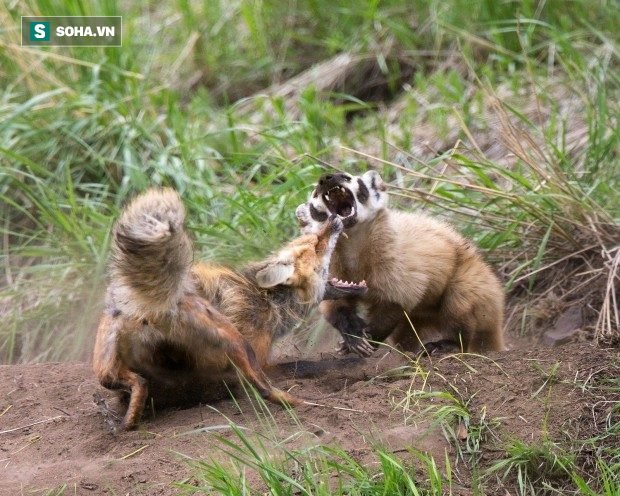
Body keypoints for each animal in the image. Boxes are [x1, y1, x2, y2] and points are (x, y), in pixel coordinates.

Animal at [94, 188, 366, 428]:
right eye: (317, 245)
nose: (333, 218)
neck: (267, 301)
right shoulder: (261, 359)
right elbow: (307, 365)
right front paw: (354, 364)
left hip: (106, 364)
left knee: (126, 382)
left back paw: (128, 418)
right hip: (236, 343)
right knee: (264, 390)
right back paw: (304, 405)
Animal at [296, 170, 504, 356]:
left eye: (347, 177)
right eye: (315, 193)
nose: (325, 178)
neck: (353, 246)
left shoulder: (396, 260)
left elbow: (396, 299)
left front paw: (366, 340)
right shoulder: (326, 264)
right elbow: (333, 302)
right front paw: (353, 337)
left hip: (472, 281)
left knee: (460, 306)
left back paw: (442, 346)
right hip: (417, 317)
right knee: (405, 334)